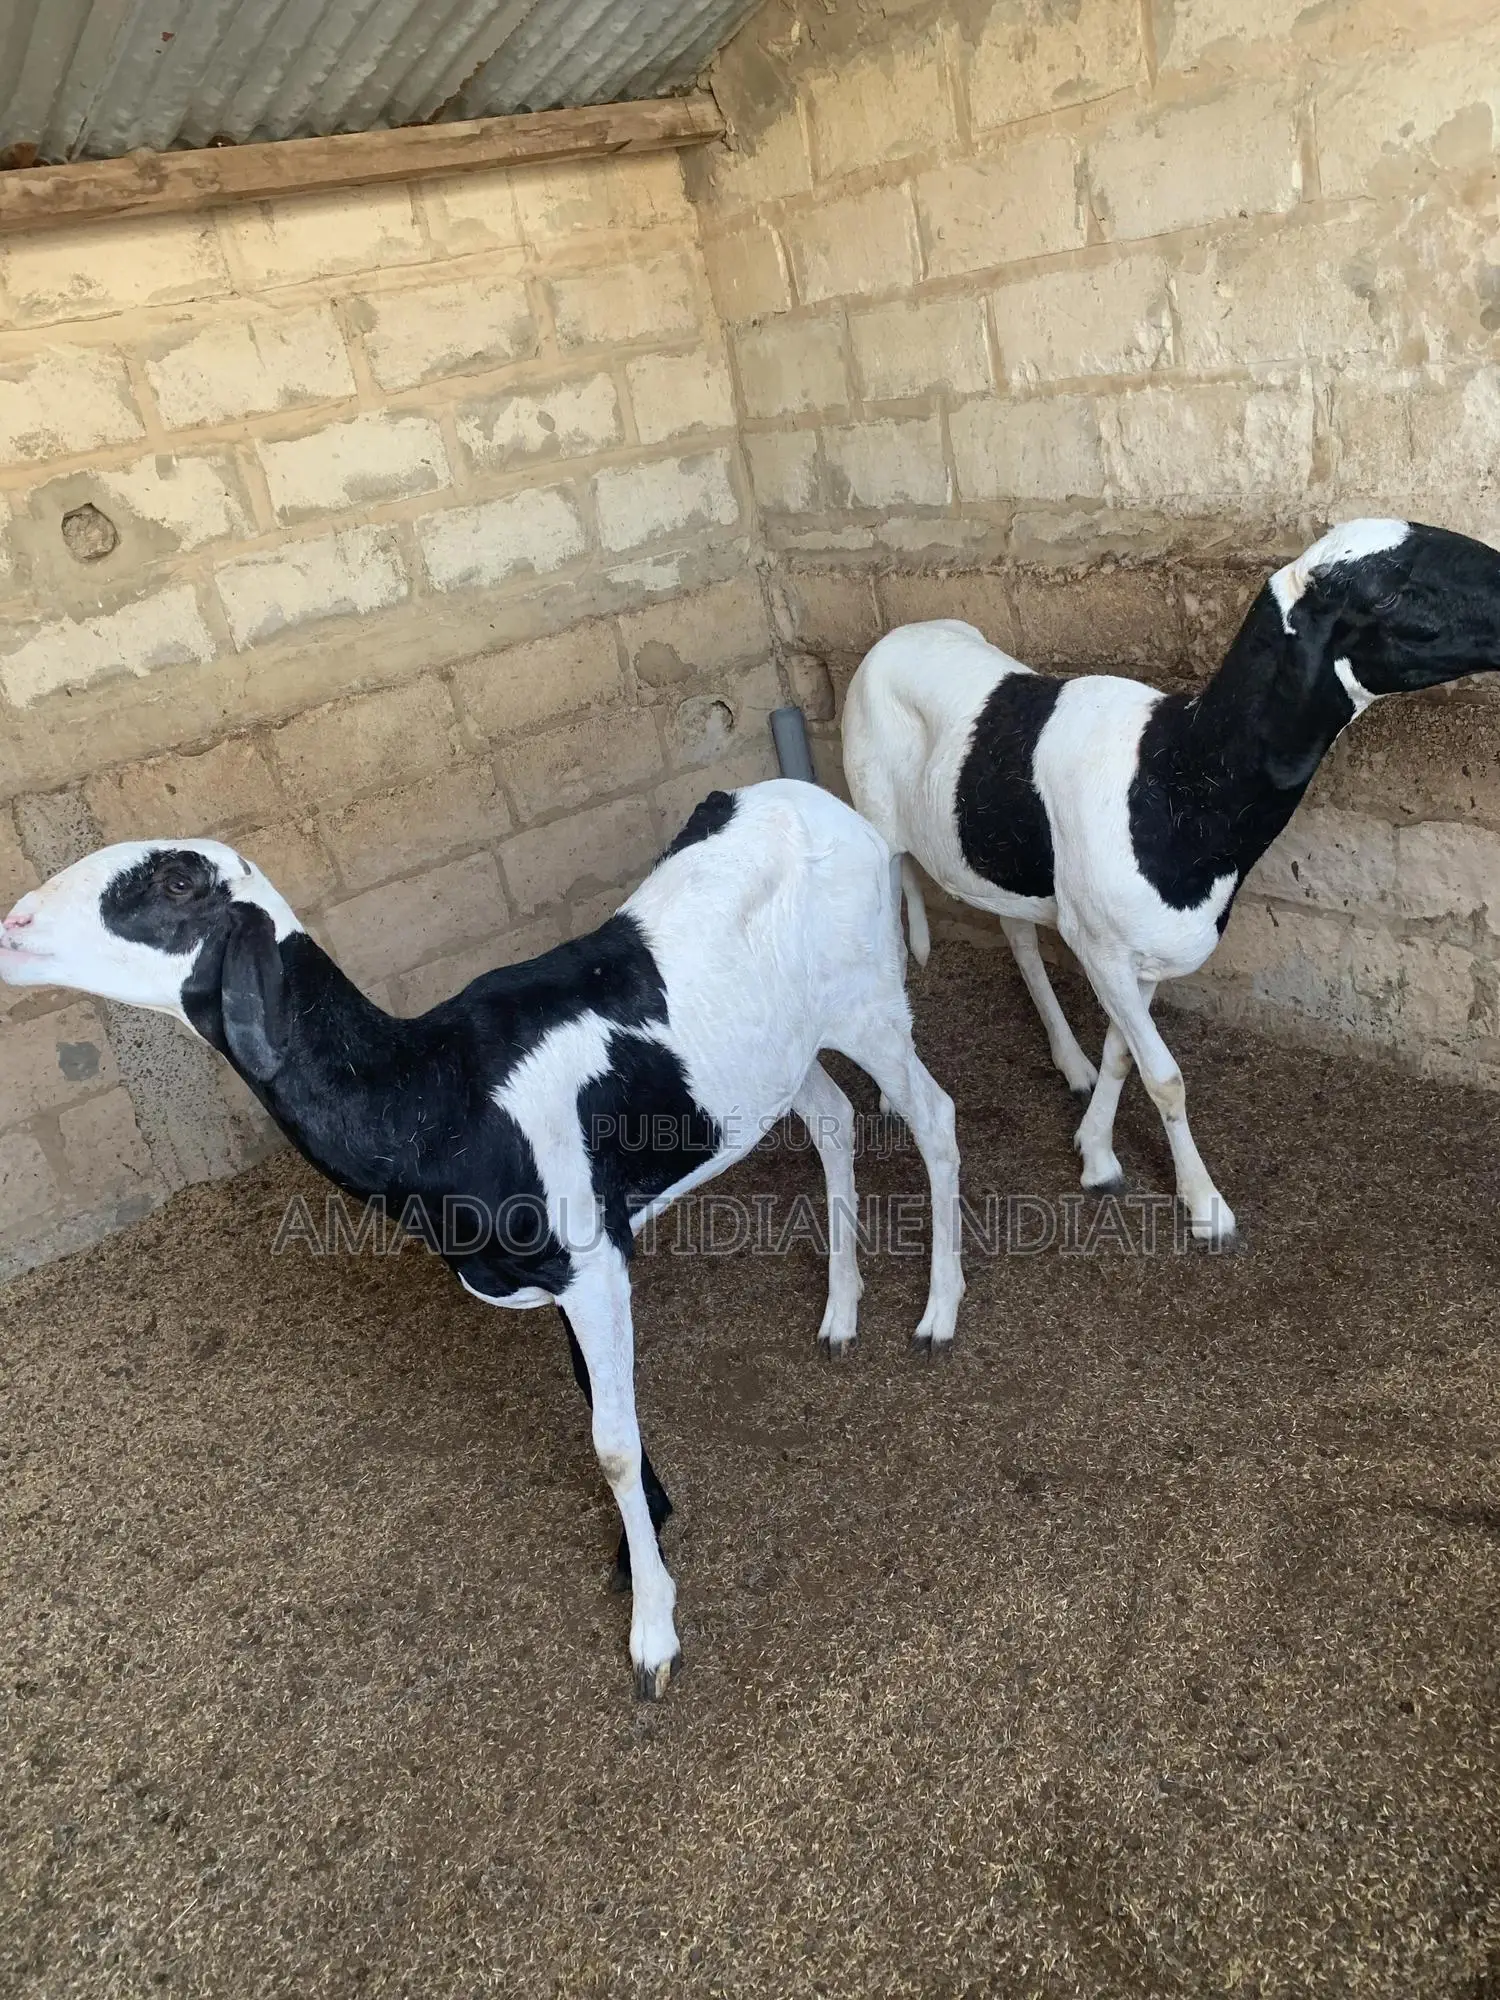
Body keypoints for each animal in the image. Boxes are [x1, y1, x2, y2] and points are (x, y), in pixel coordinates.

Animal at [0, 779, 964, 1699]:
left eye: (177, 882)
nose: (13, 925)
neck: (433, 1090)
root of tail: (820, 803)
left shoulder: (593, 1262)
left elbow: (610, 1444)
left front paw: (654, 1630)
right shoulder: (564, 1271)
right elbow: (594, 1403)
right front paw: (643, 1543)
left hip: (871, 1005)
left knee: (933, 1117)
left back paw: (939, 1311)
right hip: (778, 1056)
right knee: (834, 1122)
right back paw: (841, 1312)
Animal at [843, 518, 1500, 1247]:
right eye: (1384, 596)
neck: (1178, 775)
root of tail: (900, 633)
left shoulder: (1140, 952)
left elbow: (1123, 1056)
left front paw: (1096, 1150)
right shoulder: (1101, 946)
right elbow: (1164, 1076)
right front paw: (1203, 1203)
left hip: (993, 854)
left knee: (1016, 936)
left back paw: (1069, 1061)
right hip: (876, 825)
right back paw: (891, 1087)